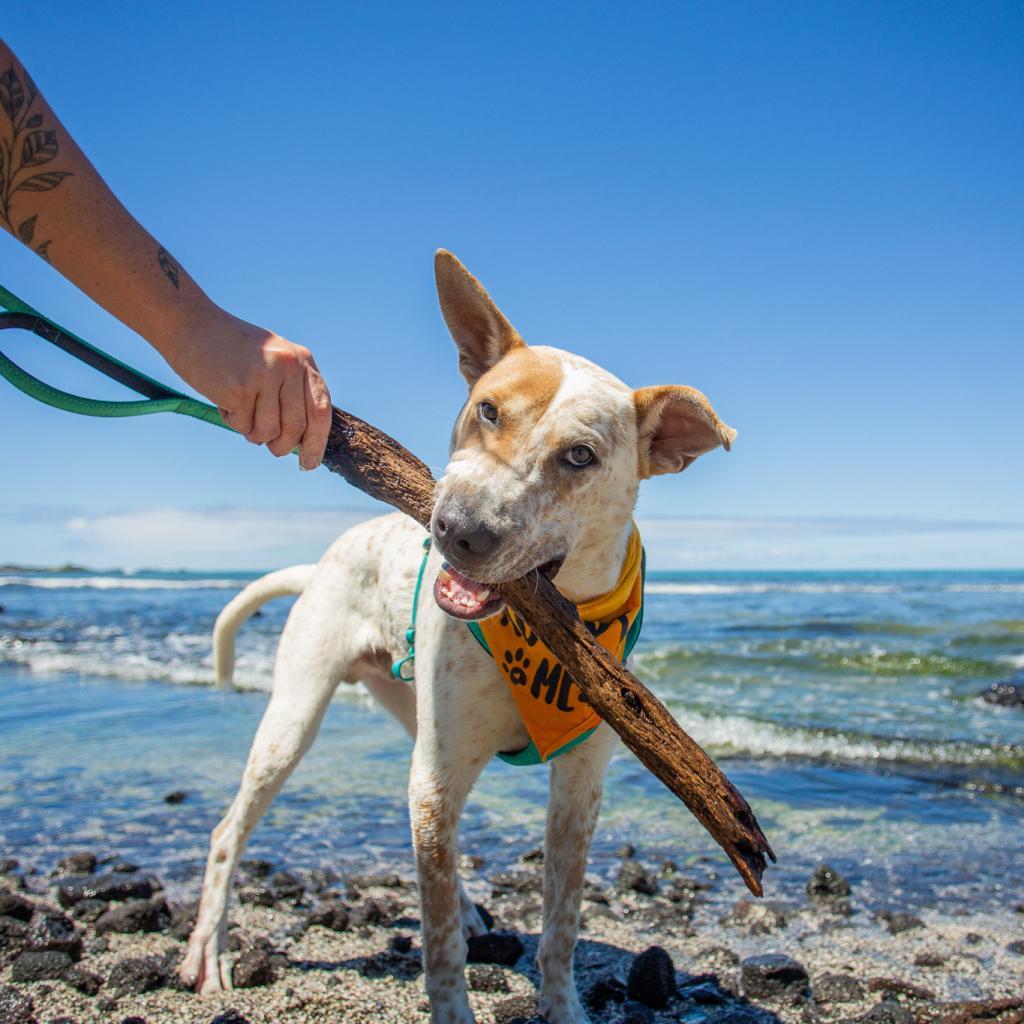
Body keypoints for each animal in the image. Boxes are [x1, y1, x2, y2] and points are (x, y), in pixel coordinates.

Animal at [178, 249, 737, 1024]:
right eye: (488, 409)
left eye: (581, 456)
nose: (457, 531)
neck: (544, 628)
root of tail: (321, 562)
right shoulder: (439, 779)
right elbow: (439, 944)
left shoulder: (578, 786)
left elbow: (561, 924)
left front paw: (561, 1005)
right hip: (294, 719)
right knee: (229, 832)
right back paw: (209, 944)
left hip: (410, 716)